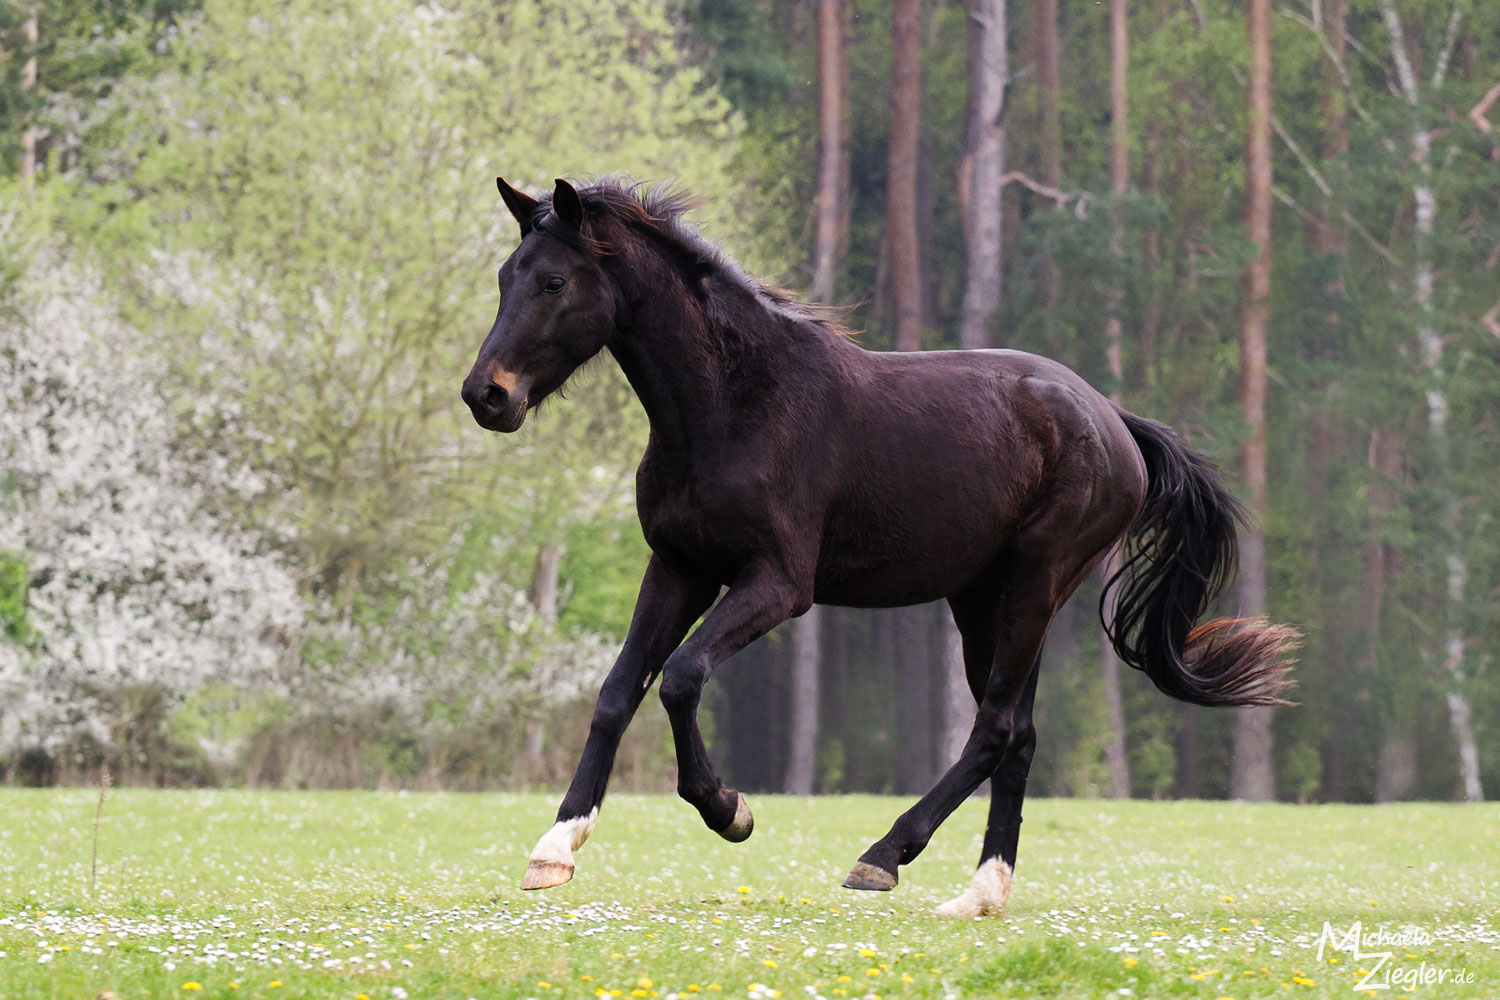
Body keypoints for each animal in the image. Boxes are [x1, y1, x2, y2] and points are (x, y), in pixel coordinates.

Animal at [462, 177, 1296, 917]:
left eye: (555, 281)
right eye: (506, 276)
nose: (486, 395)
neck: (733, 404)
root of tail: (1114, 421)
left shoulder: (777, 584)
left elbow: (681, 677)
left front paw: (730, 811)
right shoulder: (678, 569)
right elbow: (616, 692)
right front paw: (555, 848)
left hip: (1036, 584)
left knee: (994, 730)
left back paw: (884, 856)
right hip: (982, 601)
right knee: (1018, 737)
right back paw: (981, 893)